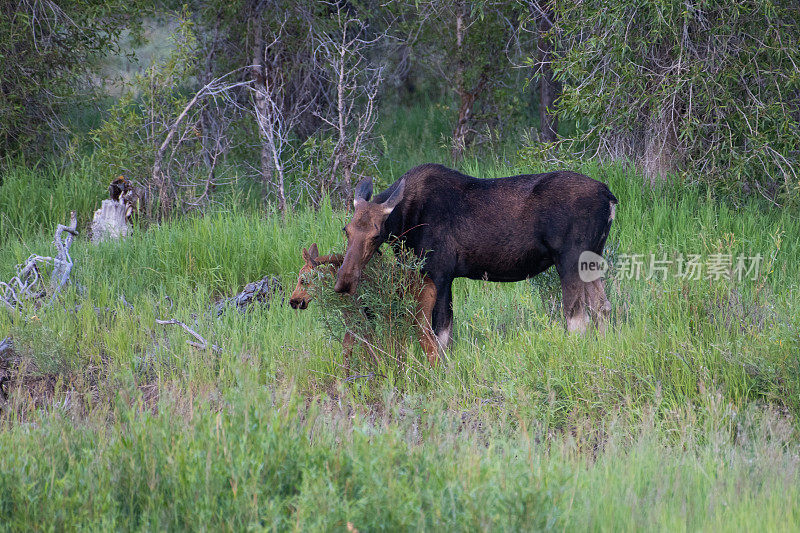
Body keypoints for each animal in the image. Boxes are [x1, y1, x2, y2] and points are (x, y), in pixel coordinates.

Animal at [332, 162, 620, 362]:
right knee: (602, 307)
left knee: (577, 316)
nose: (344, 282)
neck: (404, 224)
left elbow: (440, 332)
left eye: (376, 234)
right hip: (592, 259)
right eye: (346, 230)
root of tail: (610, 197)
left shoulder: (440, 273)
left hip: (570, 259)